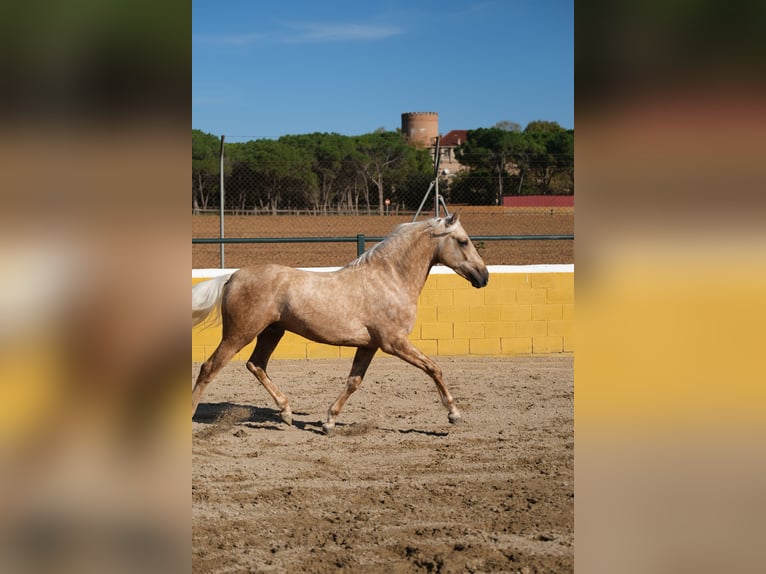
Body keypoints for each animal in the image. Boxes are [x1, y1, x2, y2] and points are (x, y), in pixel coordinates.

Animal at [194, 213, 492, 436]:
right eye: (463, 242)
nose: (484, 277)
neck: (390, 278)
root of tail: (232, 277)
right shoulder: (394, 342)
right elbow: (433, 368)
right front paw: (454, 414)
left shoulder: (370, 346)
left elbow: (353, 381)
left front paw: (329, 422)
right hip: (239, 334)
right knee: (209, 368)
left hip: (271, 332)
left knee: (256, 365)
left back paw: (287, 413)